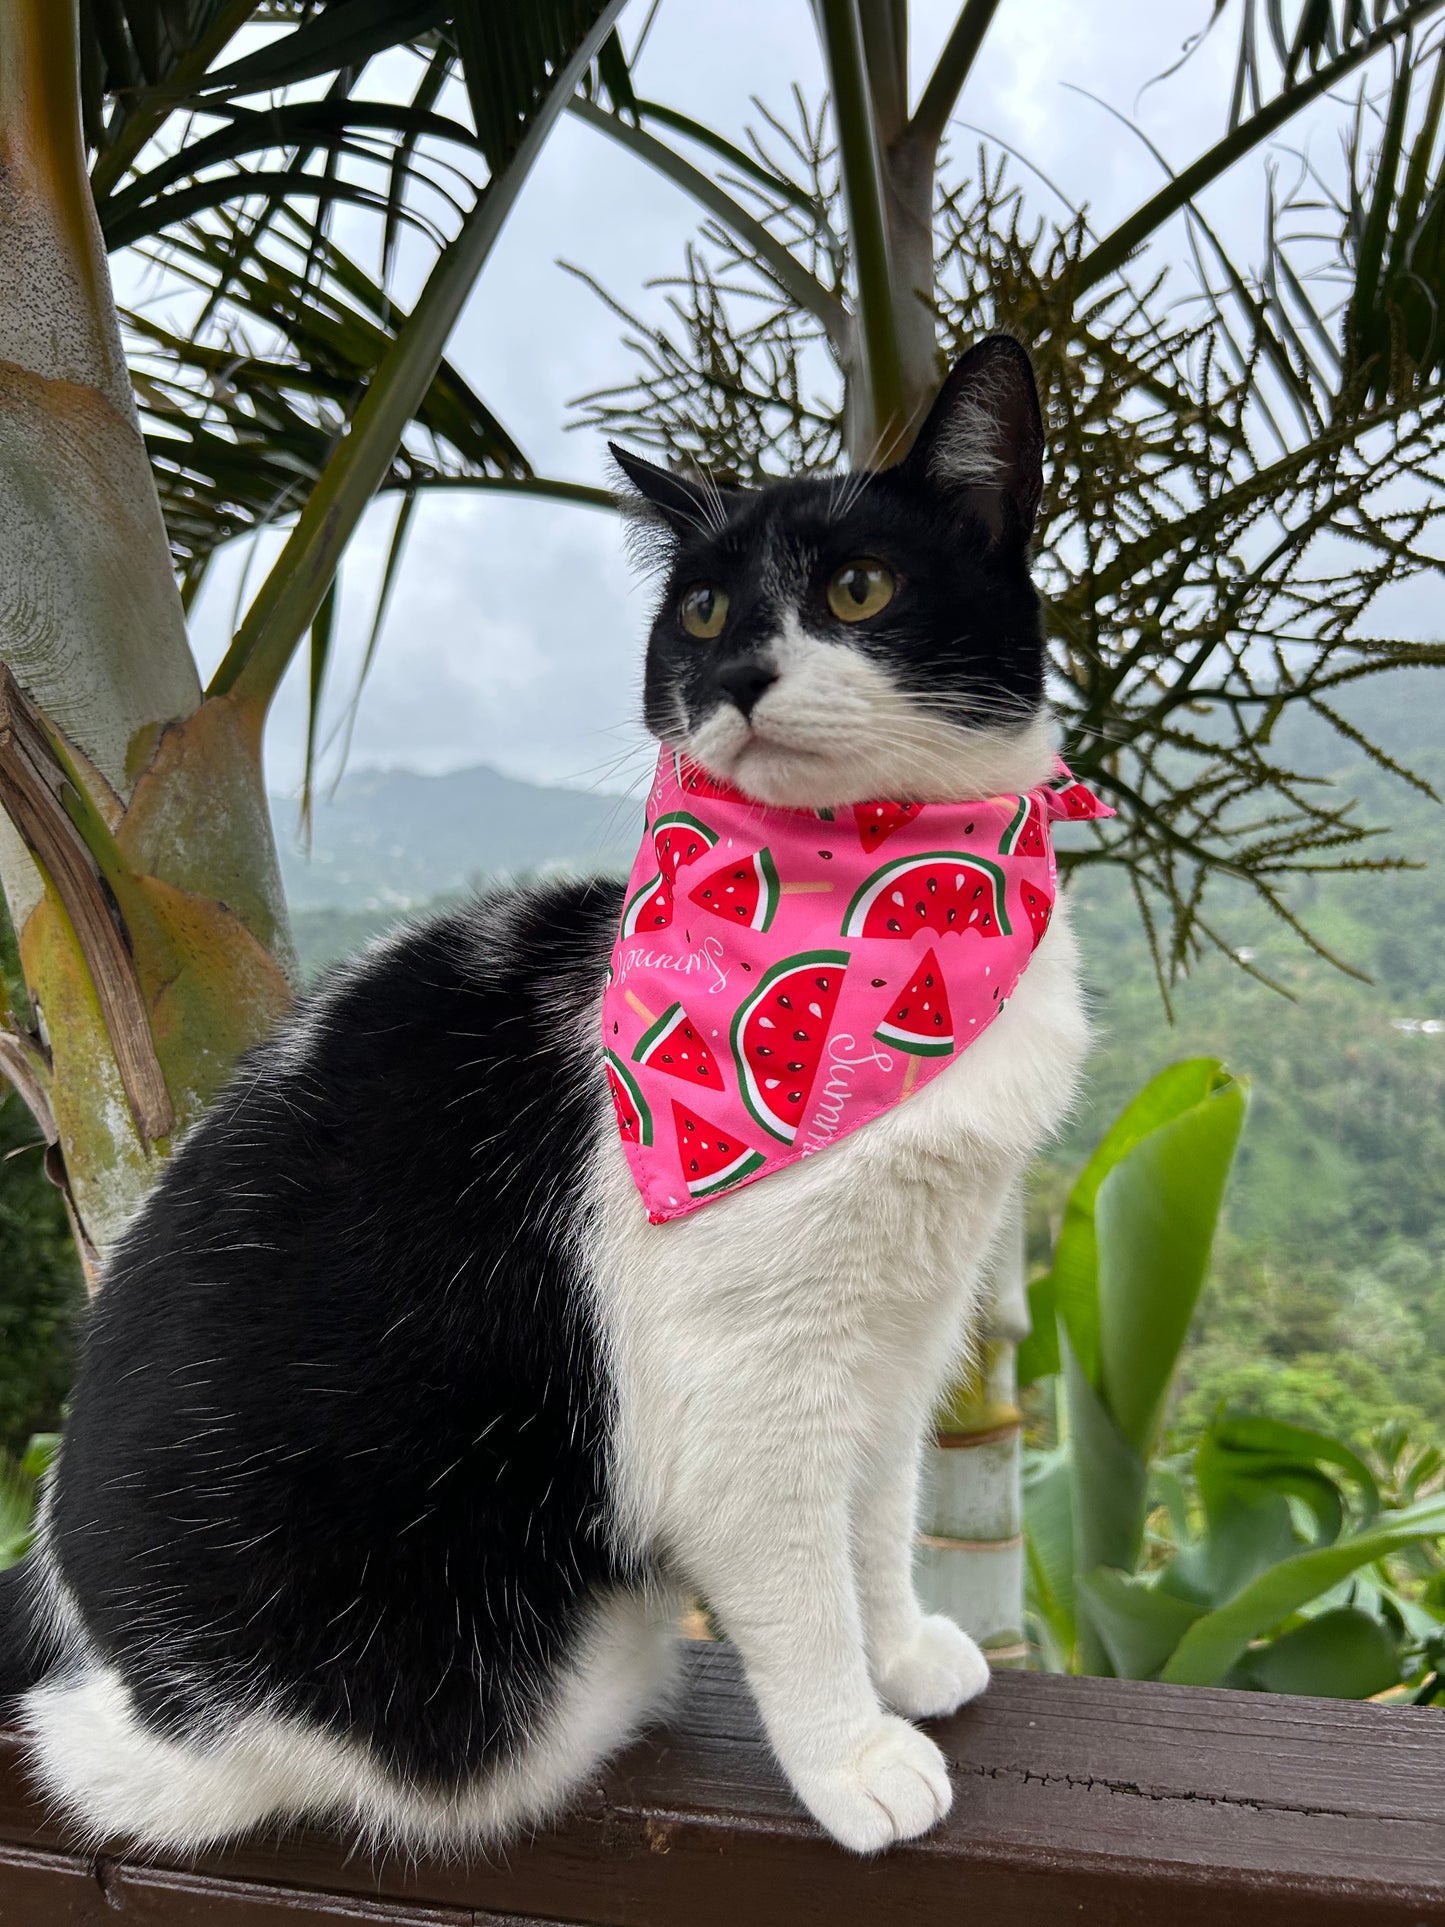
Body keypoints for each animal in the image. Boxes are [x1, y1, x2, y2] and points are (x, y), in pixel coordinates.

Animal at [0, 331, 1086, 1849]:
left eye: (858, 588)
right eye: (700, 609)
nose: (738, 671)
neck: (872, 894)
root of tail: (70, 1602)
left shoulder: (897, 1331)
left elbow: (876, 1513)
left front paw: (903, 1652)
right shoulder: (745, 1383)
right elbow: (797, 1580)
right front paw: (850, 1753)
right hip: (445, 1669)